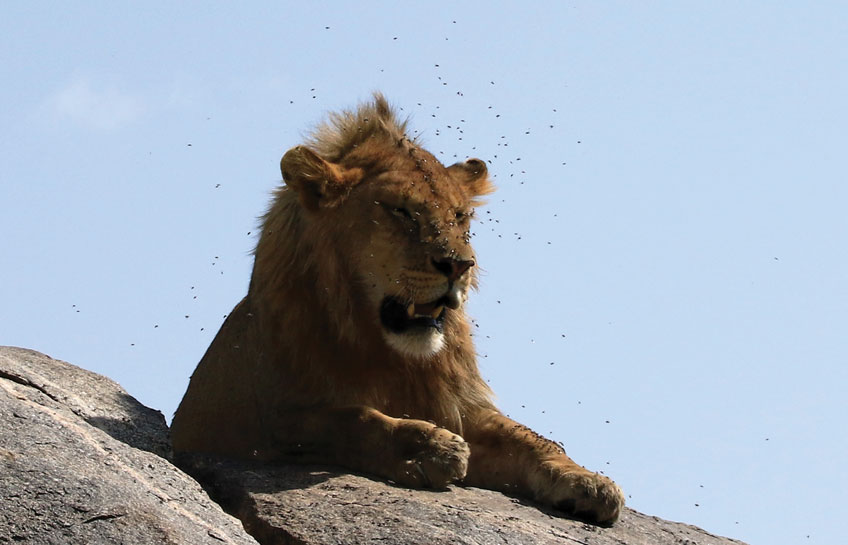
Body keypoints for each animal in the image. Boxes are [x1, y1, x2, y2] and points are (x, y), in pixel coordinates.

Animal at [171, 92, 624, 524]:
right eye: (402, 211)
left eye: (460, 216)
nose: (460, 266)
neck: (389, 352)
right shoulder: (268, 420)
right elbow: (348, 419)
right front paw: (429, 449)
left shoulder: (460, 407)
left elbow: (528, 438)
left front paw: (588, 482)